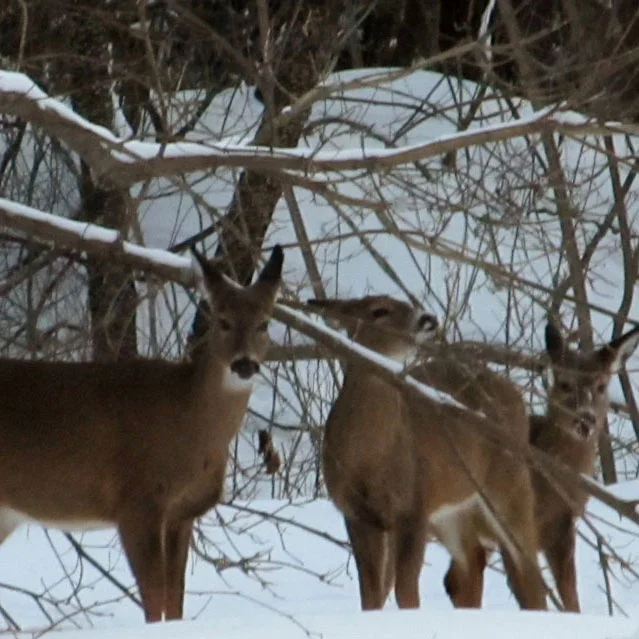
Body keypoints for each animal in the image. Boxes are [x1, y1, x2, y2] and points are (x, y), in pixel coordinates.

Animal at [0, 244, 284, 623]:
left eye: (264, 323)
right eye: (223, 321)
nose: (244, 364)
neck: (190, 424)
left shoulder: (182, 513)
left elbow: (175, 598)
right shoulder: (137, 500)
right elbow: (154, 597)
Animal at [307, 295, 547, 612]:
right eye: (379, 311)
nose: (428, 319)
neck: (369, 458)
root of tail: (516, 394)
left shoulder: (413, 506)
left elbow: (405, 589)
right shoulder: (356, 513)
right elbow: (371, 591)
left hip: (508, 481)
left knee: (526, 562)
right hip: (451, 507)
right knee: (471, 561)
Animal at [443, 321, 639, 611]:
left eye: (602, 386)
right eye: (565, 384)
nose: (586, 420)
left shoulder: (562, 527)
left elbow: (570, 599)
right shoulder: (513, 525)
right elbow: (535, 599)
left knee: (457, 579)